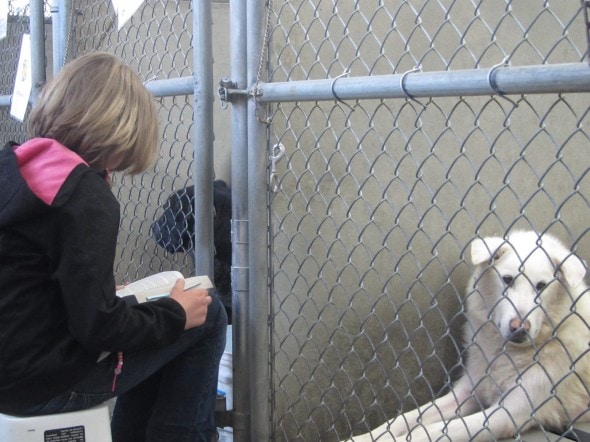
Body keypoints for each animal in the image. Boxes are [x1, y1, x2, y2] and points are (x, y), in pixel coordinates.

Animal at [346, 231, 590, 442]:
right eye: (507, 279)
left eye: (541, 286)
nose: (520, 328)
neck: (508, 353)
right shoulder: (468, 391)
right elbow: (404, 419)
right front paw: (361, 437)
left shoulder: (509, 413)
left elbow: (429, 431)